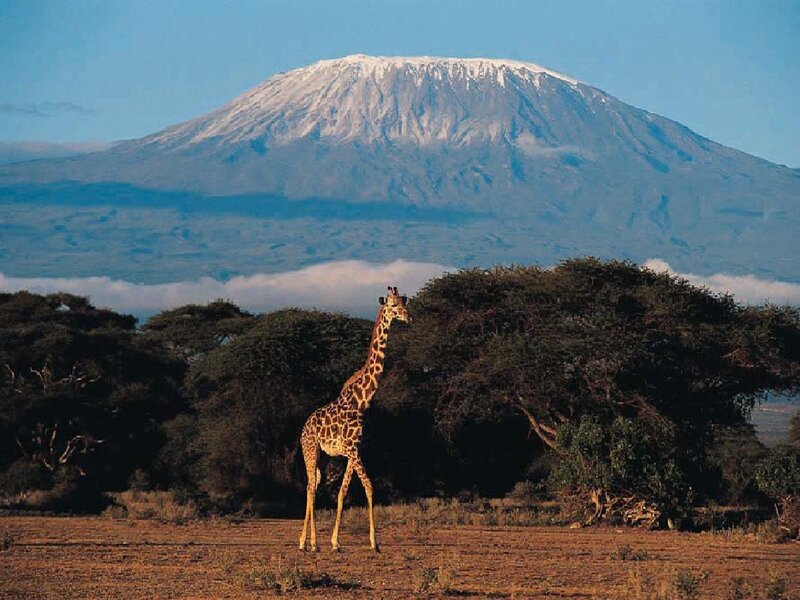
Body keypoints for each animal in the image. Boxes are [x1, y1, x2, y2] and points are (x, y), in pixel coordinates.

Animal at [299, 286, 410, 552]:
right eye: (393, 305)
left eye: (405, 301)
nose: (408, 317)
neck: (362, 401)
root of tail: (303, 428)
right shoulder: (352, 450)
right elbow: (369, 486)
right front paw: (373, 543)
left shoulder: (355, 450)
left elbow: (343, 492)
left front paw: (336, 541)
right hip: (310, 450)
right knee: (310, 487)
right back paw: (310, 543)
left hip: (324, 458)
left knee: (312, 486)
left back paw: (305, 542)